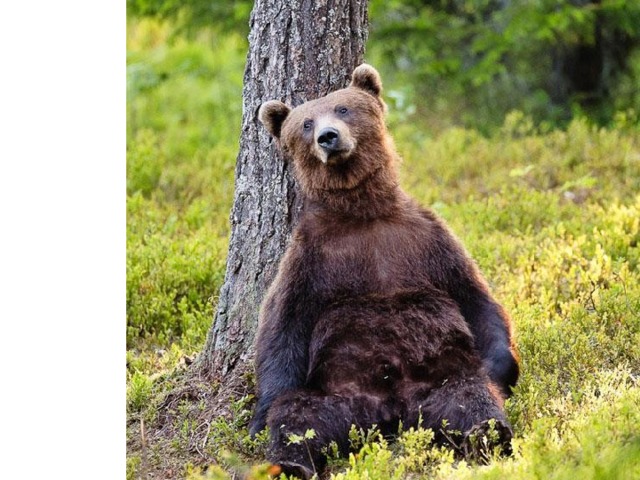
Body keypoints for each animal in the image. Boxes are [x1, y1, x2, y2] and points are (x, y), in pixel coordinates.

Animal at [249, 64, 519, 479]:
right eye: (306, 123)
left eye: (343, 108)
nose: (328, 137)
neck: (363, 213)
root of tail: (391, 413)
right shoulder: (311, 258)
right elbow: (282, 326)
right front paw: (259, 416)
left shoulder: (425, 239)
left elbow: (475, 297)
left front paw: (502, 367)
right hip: (335, 393)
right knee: (300, 415)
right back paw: (291, 462)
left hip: (441, 381)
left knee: (469, 397)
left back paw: (487, 433)